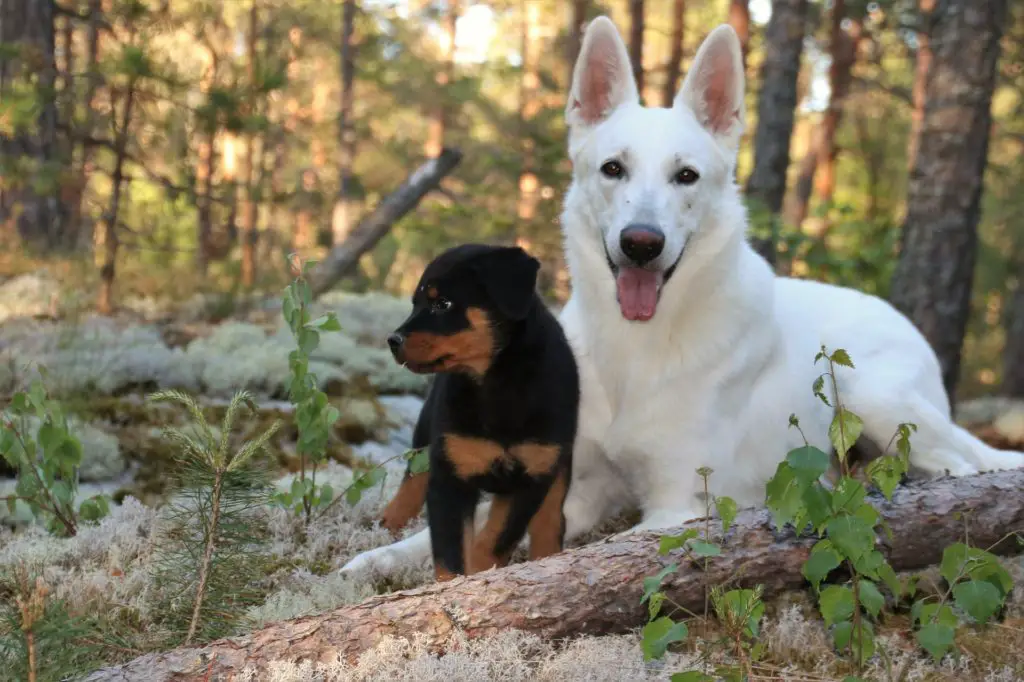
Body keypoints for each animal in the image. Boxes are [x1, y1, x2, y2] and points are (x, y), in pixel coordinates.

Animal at [385, 241, 581, 577]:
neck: (496, 381)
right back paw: (390, 519)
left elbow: (498, 537)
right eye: (415, 304)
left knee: (551, 516)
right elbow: (450, 550)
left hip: (558, 458)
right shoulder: (451, 474)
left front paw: (482, 571)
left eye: (443, 304)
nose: (392, 340)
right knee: (413, 474)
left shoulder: (532, 473)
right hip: (427, 426)